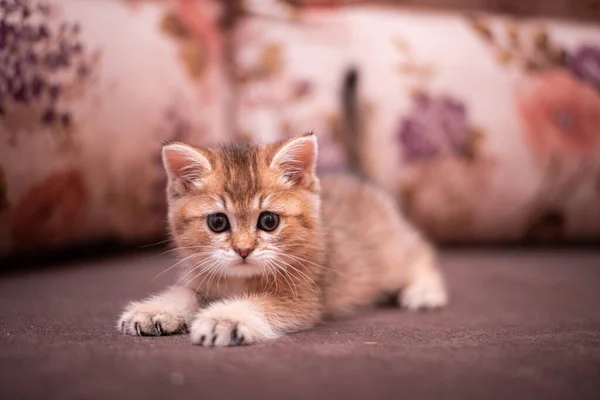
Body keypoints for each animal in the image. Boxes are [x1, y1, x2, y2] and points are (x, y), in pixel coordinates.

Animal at [118, 133, 446, 346]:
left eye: (269, 221)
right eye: (217, 222)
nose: (243, 249)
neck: (241, 280)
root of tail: (357, 175)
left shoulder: (302, 300)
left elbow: (259, 304)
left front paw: (224, 319)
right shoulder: (203, 278)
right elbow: (184, 293)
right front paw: (154, 311)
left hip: (392, 253)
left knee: (421, 254)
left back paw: (424, 292)